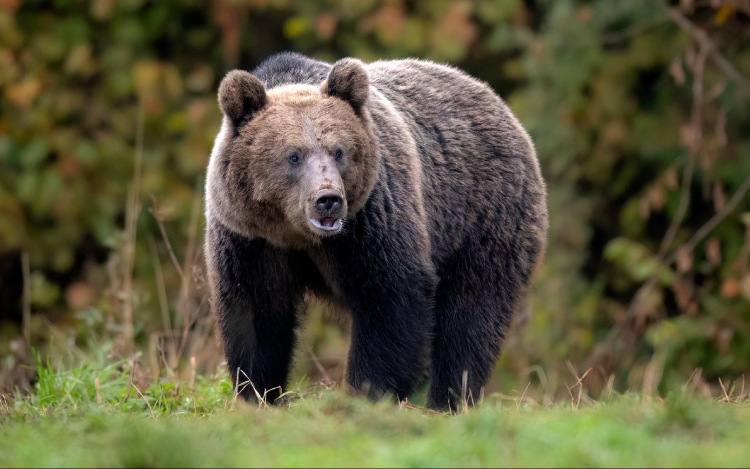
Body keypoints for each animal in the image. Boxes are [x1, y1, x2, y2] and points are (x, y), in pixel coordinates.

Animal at [204, 52, 548, 410]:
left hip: (481, 216)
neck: (298, 235)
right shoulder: (250, 239)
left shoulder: (371, 221)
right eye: (293, 155)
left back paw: (448, 399)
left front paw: (366, 392)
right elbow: (255, 314)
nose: (328, 200)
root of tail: (498, 102)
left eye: (339, 151)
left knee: (471, 313)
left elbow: (390, 297)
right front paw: (258, 394)